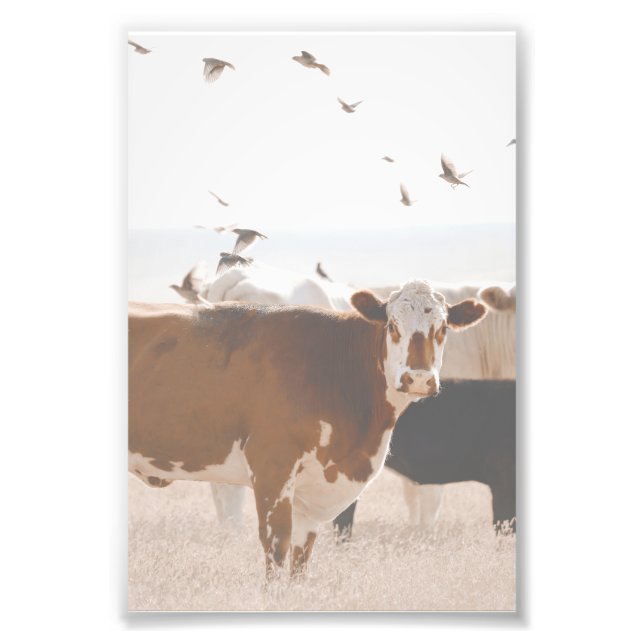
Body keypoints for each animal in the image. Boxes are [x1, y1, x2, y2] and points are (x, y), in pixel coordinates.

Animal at [128, 281, 487, 577]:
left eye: (442, 328)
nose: (420, 379)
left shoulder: (313, 497)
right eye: (393, 325)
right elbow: (276, 548)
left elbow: (300, 560)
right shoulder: (272, 470)